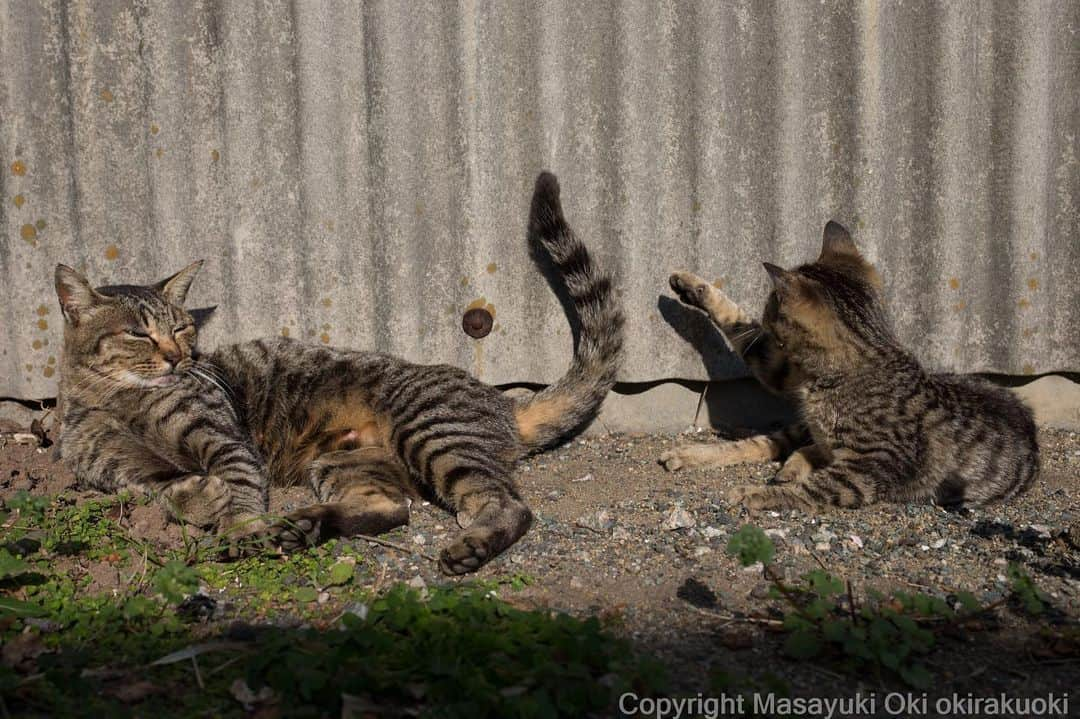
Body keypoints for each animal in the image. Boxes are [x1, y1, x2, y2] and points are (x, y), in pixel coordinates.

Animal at [54, 172, 626, 570]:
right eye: (138, 333)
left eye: (180, 328)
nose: (178, 357)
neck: (119, 398)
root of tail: (500, 400)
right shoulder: (115, 469)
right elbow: (156, 491)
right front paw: (197, 496)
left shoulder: (225, 440)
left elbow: (237, 487)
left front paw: (238, 527)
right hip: (342, 463)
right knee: (393, 509)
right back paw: (305, 524)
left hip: (429, 433)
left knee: (507, 504)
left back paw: (469, 544)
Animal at [656, 221, 1036, 507]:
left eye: (769, 306)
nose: (766, 316)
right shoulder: (779, 364)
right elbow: (737, 322)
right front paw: (691, 287)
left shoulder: (869, 469)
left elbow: (812, 491)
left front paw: (754, 493)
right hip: (799, 427)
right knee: (763, 443)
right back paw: (692, 454)